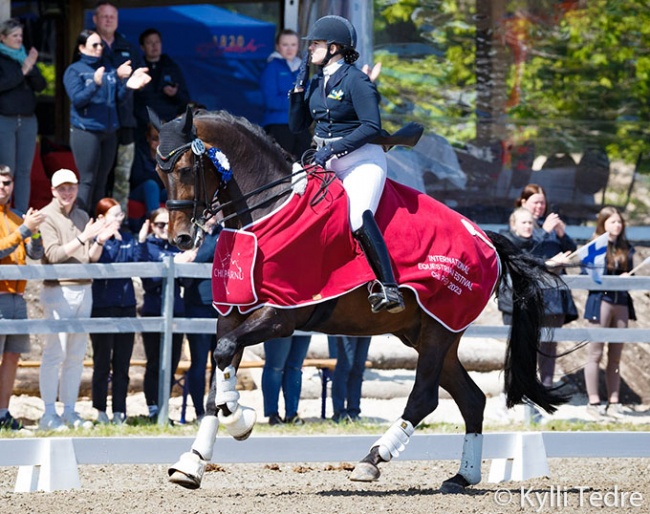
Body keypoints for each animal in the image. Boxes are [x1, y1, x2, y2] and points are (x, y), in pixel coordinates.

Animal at [151, 106, 560, 490]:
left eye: (185, 169)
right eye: (158, 171)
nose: (181, 238)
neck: (269, 208)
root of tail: (487, 239)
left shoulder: (280, 315)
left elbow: (223, 356)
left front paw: (239, 419)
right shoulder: (233, 314)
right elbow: (217, 373)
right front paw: (194, 461)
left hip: (439, 329)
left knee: (424, 397)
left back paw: (372, 460)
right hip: (425, 333)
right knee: (472, 399)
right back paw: (462, 477)